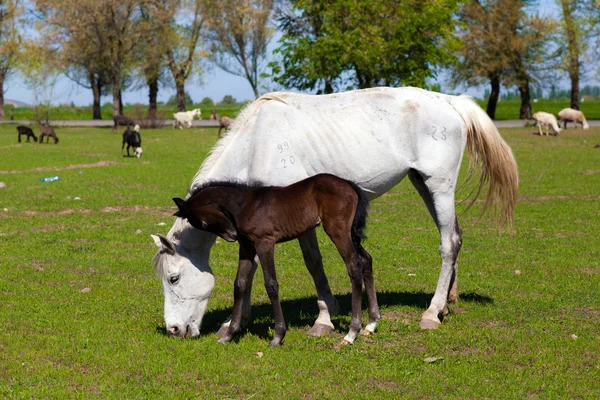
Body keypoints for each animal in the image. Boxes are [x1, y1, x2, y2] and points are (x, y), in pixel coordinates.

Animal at [173, 174, 380, 346]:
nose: (232, 235)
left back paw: (352, 333)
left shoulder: (264, 243)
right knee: (366, 260)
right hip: (350, 234)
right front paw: (229, 334)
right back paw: (371, 323)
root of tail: (349, 185)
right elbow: (240, 284)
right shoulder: (246, 247)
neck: (245, 204)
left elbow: (271, 284)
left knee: (354, 266)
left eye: (203, 223)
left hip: (338, 231)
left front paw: (278, 336)